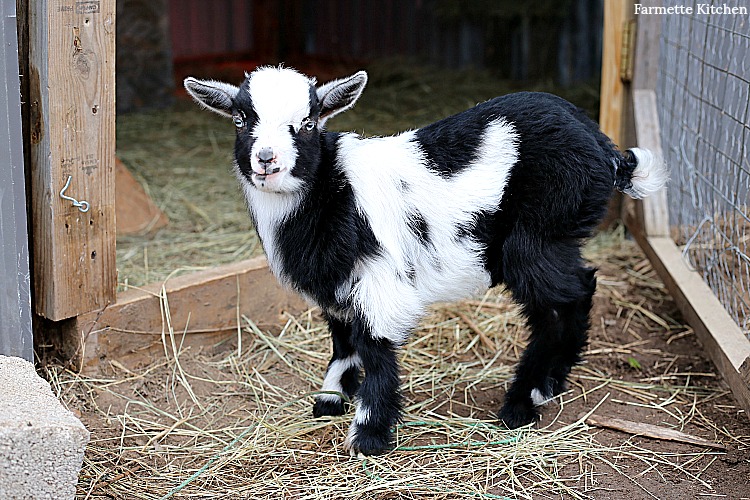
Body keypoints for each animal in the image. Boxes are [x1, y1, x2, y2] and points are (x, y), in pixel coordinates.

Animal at [184, 67, 668, 458]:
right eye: (240, 120)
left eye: (306, 123)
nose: (266, 160)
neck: (329, 190)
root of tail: (607, 151)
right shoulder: (336, 283)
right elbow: (342, 337)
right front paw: (332, 396)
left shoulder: (379, 277)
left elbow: (375, 345)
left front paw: (368, 435)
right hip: (554, 241)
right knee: (569, 295)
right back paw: (545, 386)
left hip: (536, 238)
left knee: (565, 300)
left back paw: (523, 400)